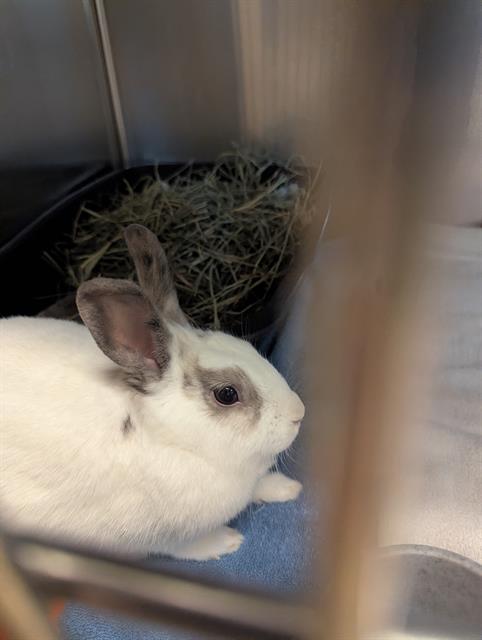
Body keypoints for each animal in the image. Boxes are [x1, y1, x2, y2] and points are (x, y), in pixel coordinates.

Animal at [0, 224, 304, 560]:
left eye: (247, 346)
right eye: (227, 394)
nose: (298, 413)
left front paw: (288, 488)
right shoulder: (160, 538)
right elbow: (189, 546)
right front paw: (227, 542)